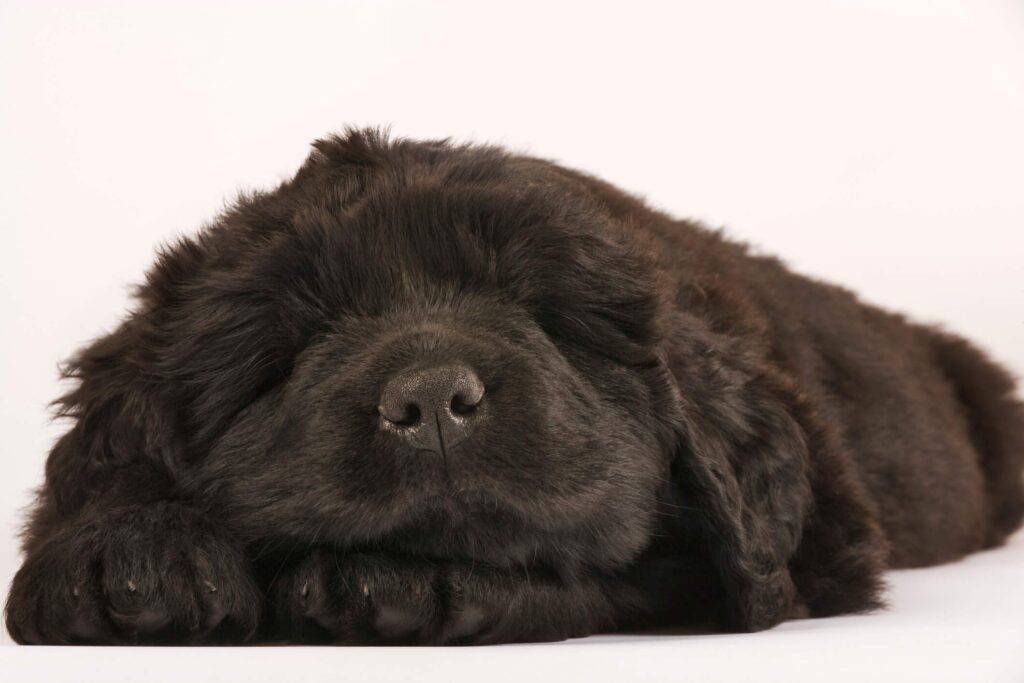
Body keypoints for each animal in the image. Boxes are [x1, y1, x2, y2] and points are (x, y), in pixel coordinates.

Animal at [8, 129, 1024, 647]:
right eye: (285, 349)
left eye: (542, 313)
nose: (430, 401)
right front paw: (132, 549)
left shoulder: (814, 542)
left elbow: (622, 570)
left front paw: (403, 579)